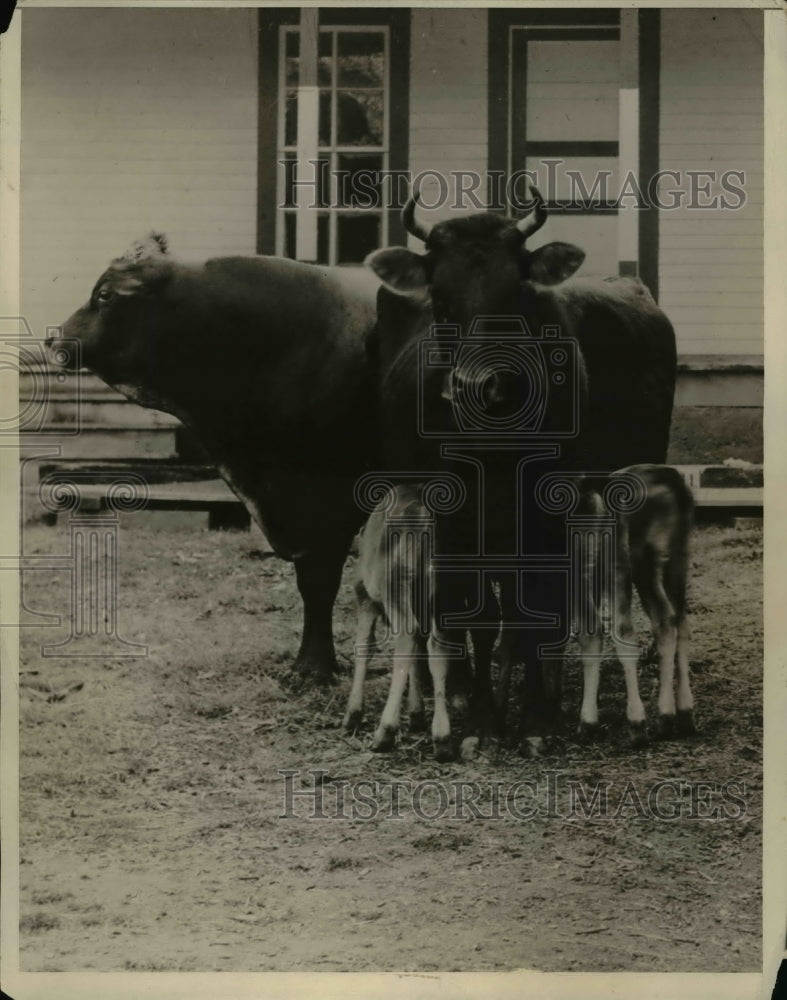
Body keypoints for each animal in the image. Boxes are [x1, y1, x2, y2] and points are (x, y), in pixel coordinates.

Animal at [344, 483, 498, 760]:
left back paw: (385, 732)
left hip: (397, 588)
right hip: (441, 594)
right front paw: (416, 714)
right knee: (437, 645)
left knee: (407, 639)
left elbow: (365, 646)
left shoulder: (365, 596)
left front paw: (352, 714)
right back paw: (443, 738)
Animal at [365, 186, 677, 755]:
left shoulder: (547, 514)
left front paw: (533, 719)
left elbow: (535, 606)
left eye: (515, 294)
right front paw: (482, 720)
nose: (474, 386)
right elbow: (477, 614)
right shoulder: (454, 521)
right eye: (439, 298)